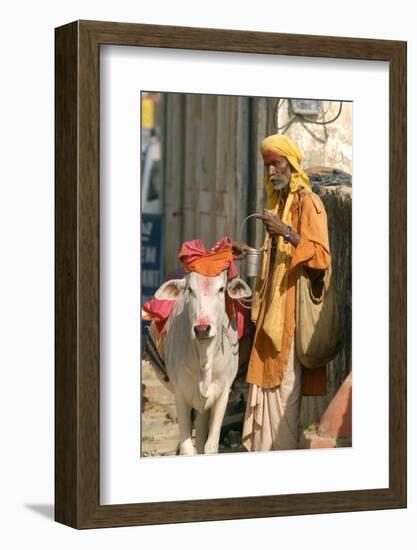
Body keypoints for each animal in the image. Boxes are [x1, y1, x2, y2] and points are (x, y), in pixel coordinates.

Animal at [154, 272, 249, 458]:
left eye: (221, 289)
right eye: (190, 290)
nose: (202, 328)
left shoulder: (222, 394)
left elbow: (210, 446)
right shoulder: (180, 394)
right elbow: (187, 449)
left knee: (200, 438)